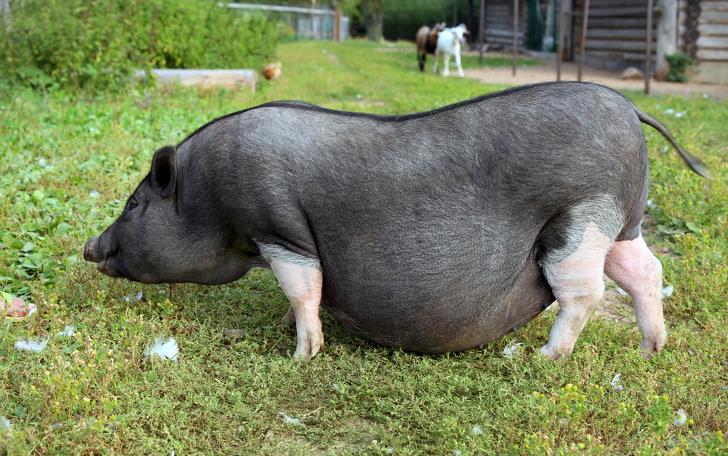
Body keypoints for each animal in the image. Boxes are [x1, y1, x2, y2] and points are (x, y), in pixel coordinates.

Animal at [84, 82, 709, 361]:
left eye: (134, 205)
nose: (90, 247)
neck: (207, 199)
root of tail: (628, 106)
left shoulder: (277, 226)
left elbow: (302, 289)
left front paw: (300, 355)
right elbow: (302, 294)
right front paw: (288, 336)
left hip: (581, 217)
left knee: (585, 292)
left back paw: (533, 358)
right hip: (619, 222)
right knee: (645, 272)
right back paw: (652, 349)